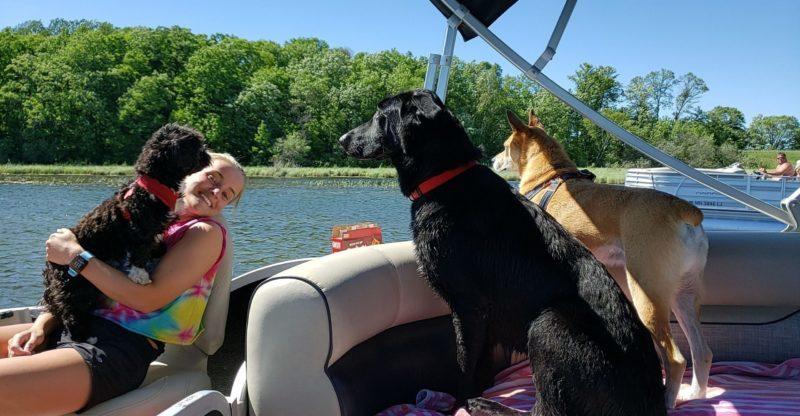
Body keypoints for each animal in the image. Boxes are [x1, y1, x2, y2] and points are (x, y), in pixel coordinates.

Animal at [41, 123, 209, 342]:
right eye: (194, 146)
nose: (208, 154)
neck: (154, 188)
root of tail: (51, 266)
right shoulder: (138, 229)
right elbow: (140, 252)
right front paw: (141, 275)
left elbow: (153, 243)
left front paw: (158, 250)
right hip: (74, 286)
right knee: (69, 311)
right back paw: (81, 334)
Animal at [340, 89, 664, 414]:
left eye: (380, 114)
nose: (342, 139)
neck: (447, 177)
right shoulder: (482, 320)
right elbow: (481, 366)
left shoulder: (469, 308)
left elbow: (464, 365)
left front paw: (457, 403)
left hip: (547, 325)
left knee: (545, 410)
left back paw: (487, 406)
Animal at [494, 109, 712, 406]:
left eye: (506, 146)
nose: (493, 160)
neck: (549, 175)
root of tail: (682, 209)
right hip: (683, 294)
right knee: (702, 351)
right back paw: (696, 395)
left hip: (647, 295)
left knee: (676, 359)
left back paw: (668, 400)